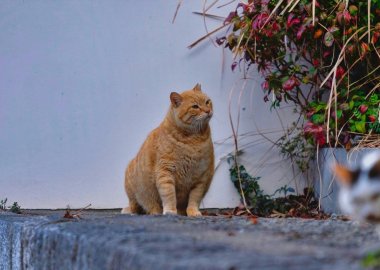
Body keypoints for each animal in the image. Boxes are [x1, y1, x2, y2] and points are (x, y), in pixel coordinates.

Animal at [121, 83, 214, 216]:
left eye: (207, 102)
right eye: (195, 106)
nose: (208, 111)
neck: (193, 140)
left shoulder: (201, 178)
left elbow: (194, 199)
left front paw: (193, 212)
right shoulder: (166, 172)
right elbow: (169, 195)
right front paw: (170, 211)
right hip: (132, 187)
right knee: (138, 205)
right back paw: (152, 211)